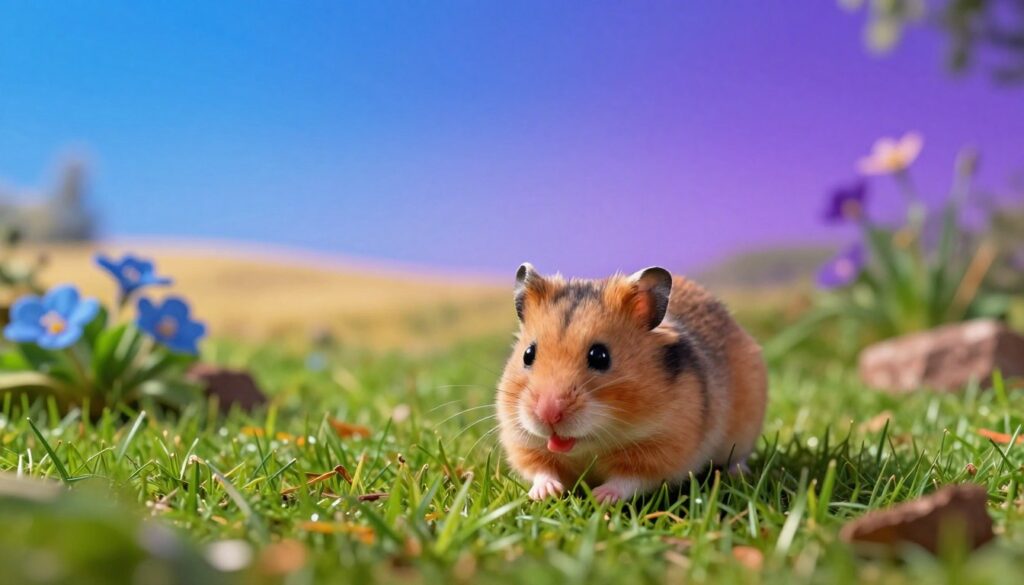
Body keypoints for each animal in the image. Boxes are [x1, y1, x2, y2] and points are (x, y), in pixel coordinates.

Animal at [496, 263, 767, 503]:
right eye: (528, 354)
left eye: (600, 356)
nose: (548, 414)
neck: (589, 444)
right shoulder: (522, 442)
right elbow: (540, 470)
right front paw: (545, 493)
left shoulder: (663, 450)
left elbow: (627, 480)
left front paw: (600, 497)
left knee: (738, 457)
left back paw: (738, 474)